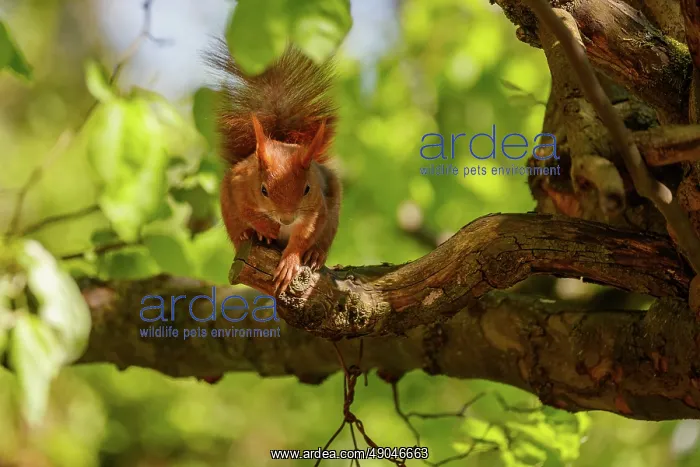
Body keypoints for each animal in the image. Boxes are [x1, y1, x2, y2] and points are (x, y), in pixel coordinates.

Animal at [208, 43, 342, 295]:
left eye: (307, 189)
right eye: (263, 190)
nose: (286, 219)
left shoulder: (316, 209)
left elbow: (303, 236)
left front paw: (290, 262)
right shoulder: (238, 185)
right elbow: (246, 210)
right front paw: (265, 229)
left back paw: (316, 255)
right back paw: (248, 234)